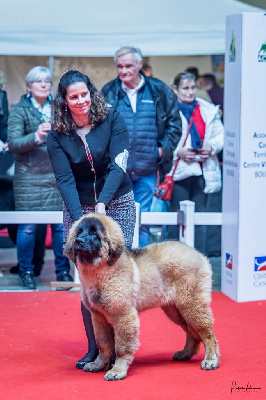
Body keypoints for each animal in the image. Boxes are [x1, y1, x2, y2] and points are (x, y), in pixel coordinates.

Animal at [64, 214, 218, 380]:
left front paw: (118, 370)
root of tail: (199, 254)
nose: (78, 241)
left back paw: (211, 360)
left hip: (191, 304)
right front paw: (98, 364)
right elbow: (103, 344)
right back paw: (185, 354)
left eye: (94, 233)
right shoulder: (98, 317)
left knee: (207, 332)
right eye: (79, 231)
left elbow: (121, 347)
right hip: (175, 310)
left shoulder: (123, 315)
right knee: (191, 332)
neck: (101, 272)